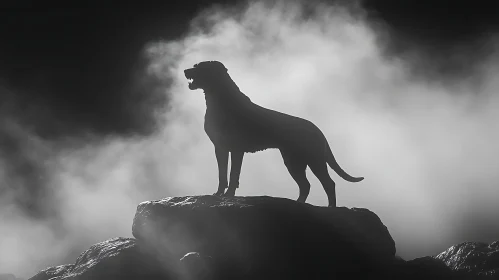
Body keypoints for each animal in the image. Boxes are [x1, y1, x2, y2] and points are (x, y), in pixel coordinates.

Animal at [184, 60, 364, 206]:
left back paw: (331, 208)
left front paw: (229, 195)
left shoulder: (236, 149)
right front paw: (219, 194)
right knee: (306, 185)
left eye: (200, 67)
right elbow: (222, 174)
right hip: (294, 162)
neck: (217, 98)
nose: (185, 70)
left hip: (314, 160)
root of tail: (316, 128)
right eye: (195, 65)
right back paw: (298, 203)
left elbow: (234, 174)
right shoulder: (220, 148)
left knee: (328, 183)